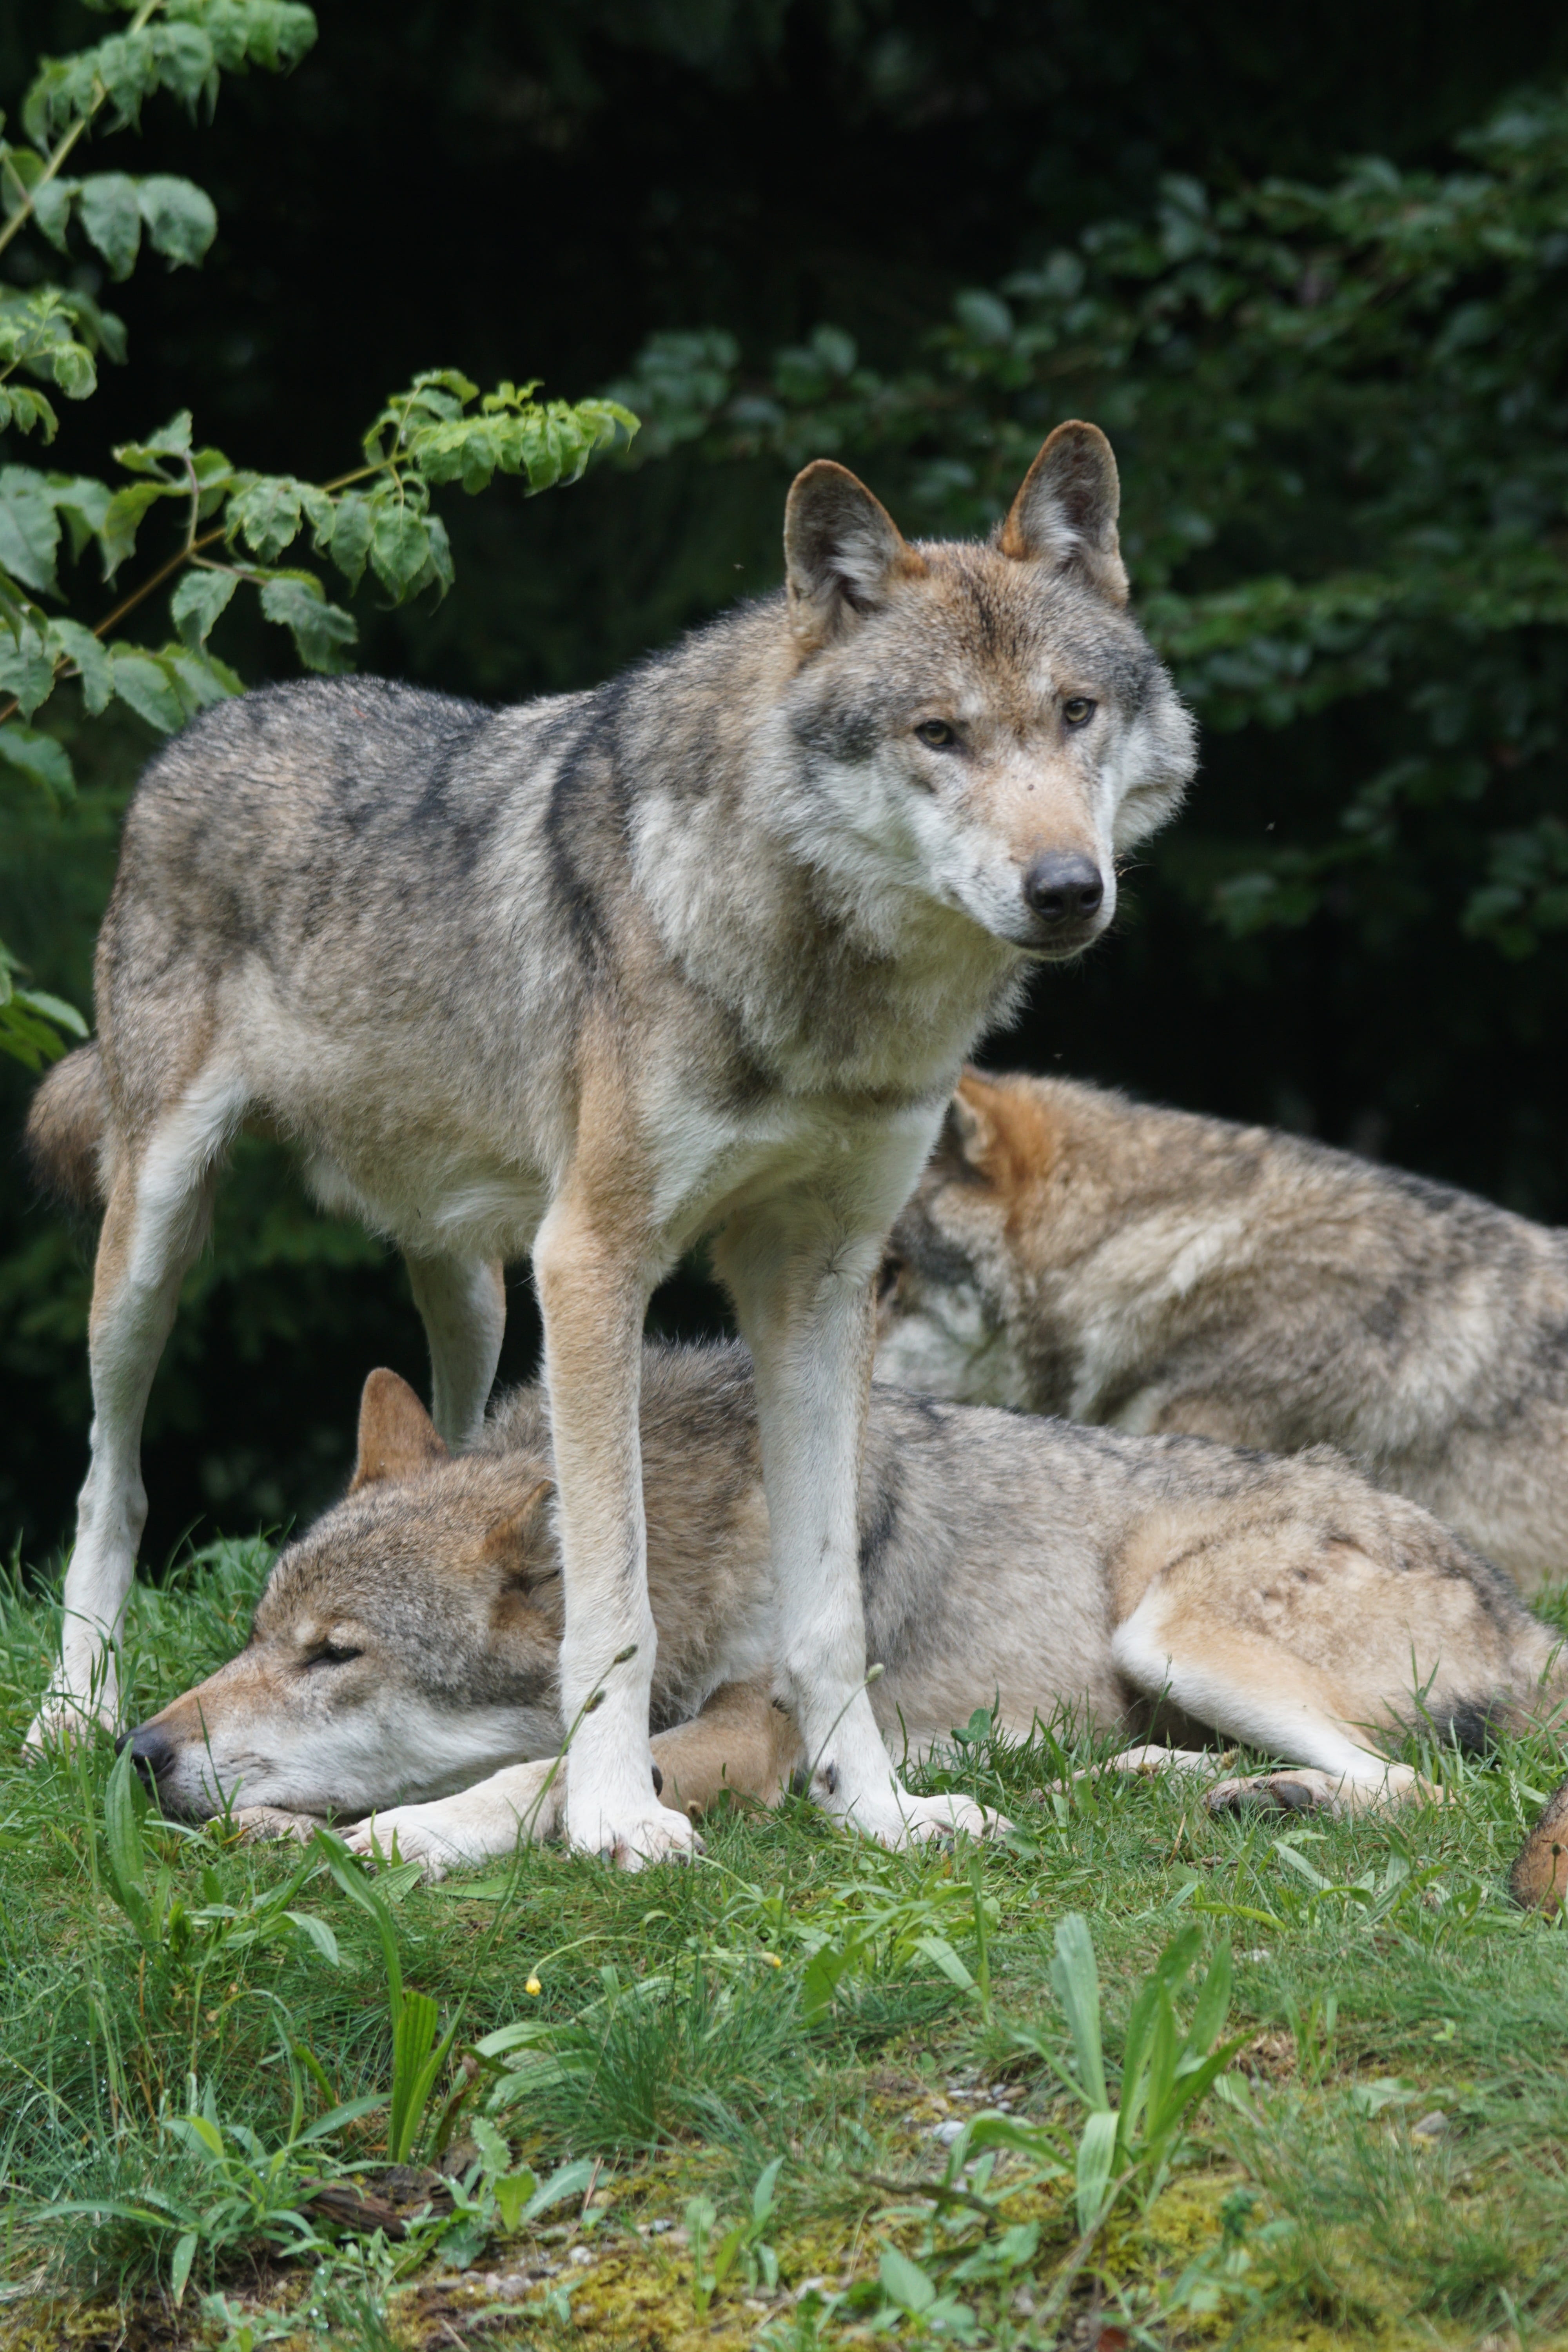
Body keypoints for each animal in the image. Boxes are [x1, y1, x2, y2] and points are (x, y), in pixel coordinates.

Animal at [23, 424, 1197, 1864]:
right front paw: (611, 1817)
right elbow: (614, 1597)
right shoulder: (593, 1263)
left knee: (449, 1439)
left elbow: (828, 1611)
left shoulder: (819, 1284)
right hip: (156, 1238)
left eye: (1075, 714)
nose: (1067, 889)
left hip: (475, 1285)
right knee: (112, 1479)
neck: (822, 987)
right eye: (940, 734)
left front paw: (877, 1809)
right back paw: (72, 1710)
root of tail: (216, 718)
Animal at [123, 1344, 1568, 1884]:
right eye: (257, 1638)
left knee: (1428, 1790)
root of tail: (1525, 1612)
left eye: (336, 1656)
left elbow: (539, 1779)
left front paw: (404, 1837)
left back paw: (1273, 1801)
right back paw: (1165, 1783)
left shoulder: (749, 1732)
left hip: (1168, 1622)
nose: (137, 1752)